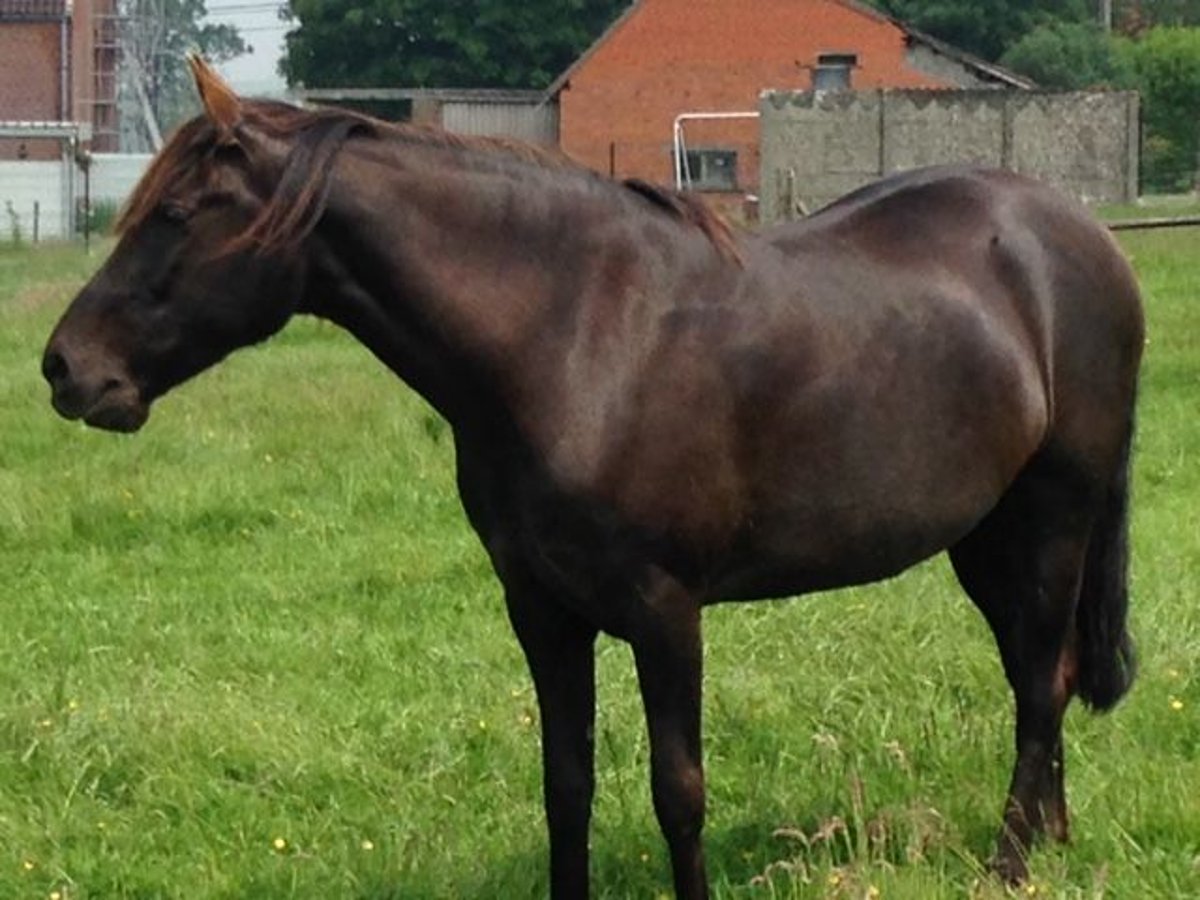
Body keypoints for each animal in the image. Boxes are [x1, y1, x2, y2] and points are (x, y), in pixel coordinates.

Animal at [39, 58, 1142, 900]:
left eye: (178, 213)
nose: (66, 368)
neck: (571, 337)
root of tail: (1077, 234)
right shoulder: (543, 610)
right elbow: (566, 784)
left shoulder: (665, 612)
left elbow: (677, 789)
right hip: (987, 536)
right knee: (1042, 673)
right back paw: (1053, 838)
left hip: (1055, 518)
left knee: (1040, 681)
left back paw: (1009, 863)